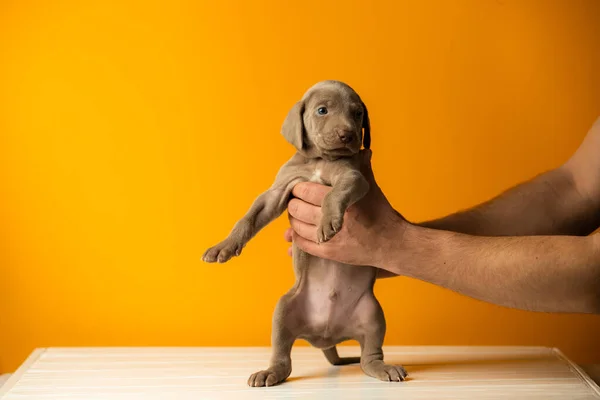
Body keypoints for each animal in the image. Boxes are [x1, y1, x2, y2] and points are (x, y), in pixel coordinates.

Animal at [203, 79, 408, 386]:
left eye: (358, 113)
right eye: (322, 110)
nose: (348, 135)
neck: (319, 161)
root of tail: (327, 335)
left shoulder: (353, 177)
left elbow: (334, 194)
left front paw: (326, 222)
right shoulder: (278, 191)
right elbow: (247, 219)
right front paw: (223, 247)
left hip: (373, 314)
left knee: (369, 357)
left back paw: (383, 368)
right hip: (283, 310)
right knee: (282, 358)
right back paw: (269, 373)